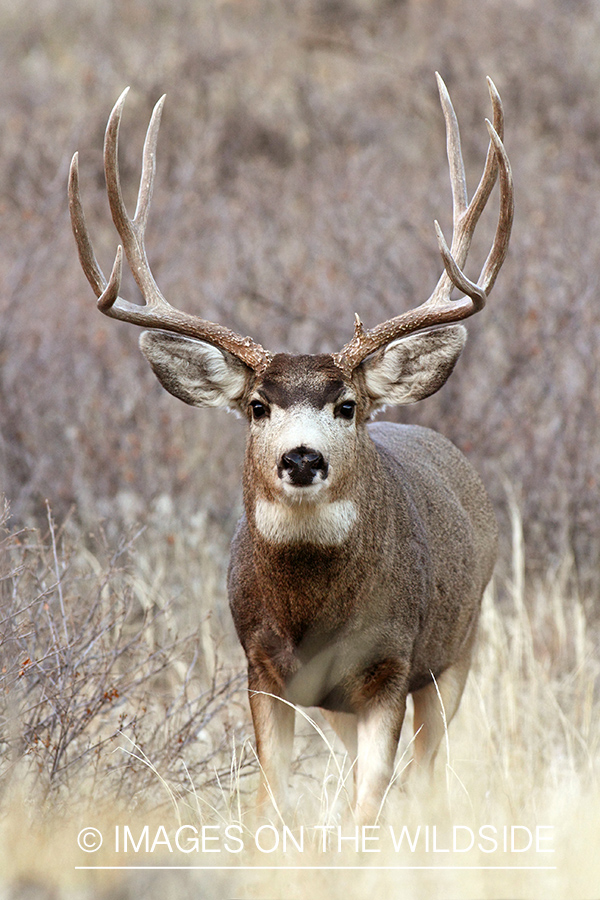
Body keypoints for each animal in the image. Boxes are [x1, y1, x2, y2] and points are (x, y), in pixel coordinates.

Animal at [69, 74, 513, 824]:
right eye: (257, 406)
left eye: (348, 405)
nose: (302, 458)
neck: (311, 615)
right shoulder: (259, 664)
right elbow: (268, 796)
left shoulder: (391, 663)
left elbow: (370, 801)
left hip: (459, 648)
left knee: (429, 773)